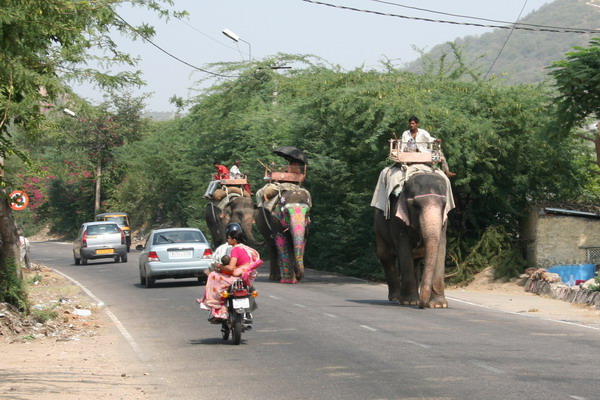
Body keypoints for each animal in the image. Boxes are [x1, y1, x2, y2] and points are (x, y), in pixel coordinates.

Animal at [372, 164, 452, 308]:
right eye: (416, 206)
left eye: (444, 205)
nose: (422, 305)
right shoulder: (397, 218)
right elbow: (404, 249)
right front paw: (409, 302)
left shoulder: (444, 221)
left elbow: (441, 247)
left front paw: (438, 305)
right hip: (378, 225)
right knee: (386, 256)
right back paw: (396, 298)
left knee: (414, 261)